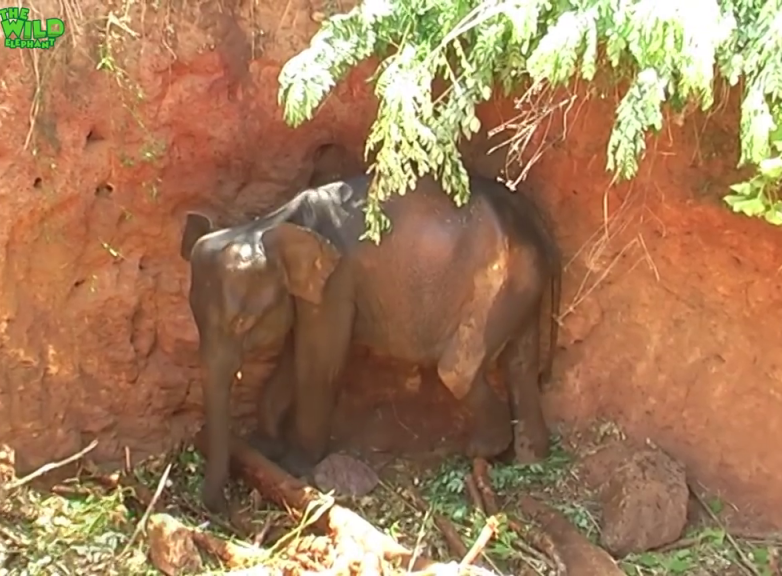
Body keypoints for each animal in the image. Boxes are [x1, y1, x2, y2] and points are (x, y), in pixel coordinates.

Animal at [181, 172, 560, 512]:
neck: (273, 224)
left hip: (499, 283)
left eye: (241, 322)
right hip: (522, 282)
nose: (221, 508)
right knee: (519, 364)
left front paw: (294, 466)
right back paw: (530, 457)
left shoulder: (337, 284)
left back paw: (481, 449)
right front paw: (264, 446)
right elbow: (294, 354)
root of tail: (532, 219)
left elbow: (317, 362)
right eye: (194, 315)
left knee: (457, 371)